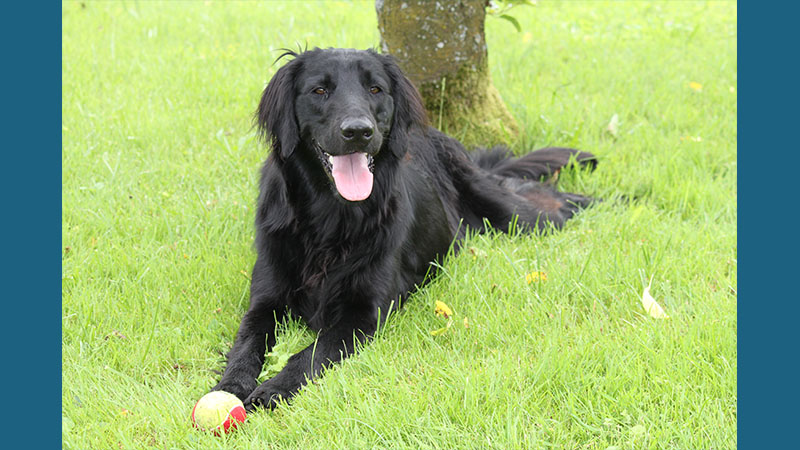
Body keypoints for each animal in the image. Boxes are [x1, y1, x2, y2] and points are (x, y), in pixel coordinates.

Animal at [209, 47, 596, 410]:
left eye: (375, 89)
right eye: (319, 90)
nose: (358, 131)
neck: (331, 218)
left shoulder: (364, 314)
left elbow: (310, 352)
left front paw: (273, 388)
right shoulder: (266, 299)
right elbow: (247, 341)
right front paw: (231, 386)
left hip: (513, 214)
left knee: (547, 201)